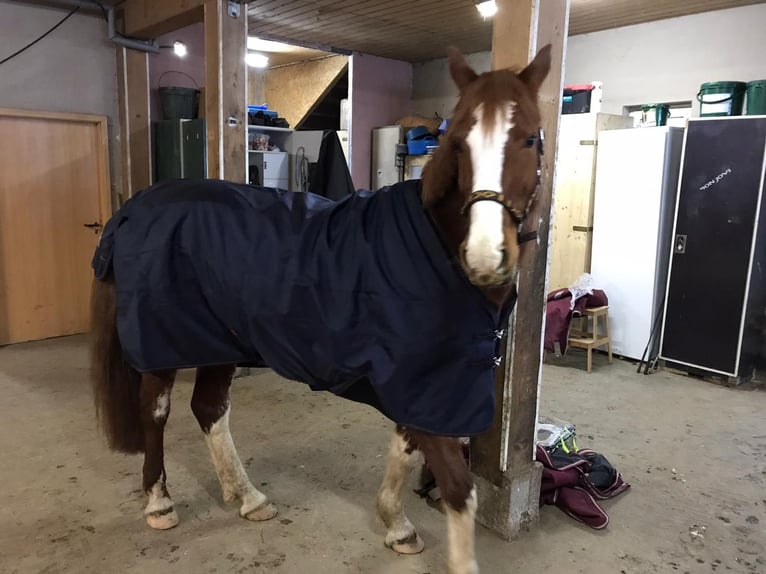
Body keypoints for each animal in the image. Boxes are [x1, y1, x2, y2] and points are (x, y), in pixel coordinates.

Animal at [88, 44, 552, 574]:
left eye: (530, 138)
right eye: (456, 142)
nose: (485, 256)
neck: (432, 247)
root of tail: (134, 208)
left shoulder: (421, 387)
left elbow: (406, 447)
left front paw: (396, 525)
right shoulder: (423, 384)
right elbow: (458, 487)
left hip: (220, 344)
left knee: (209, 410)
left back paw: (248, 497)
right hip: (166, 348)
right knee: (157, 413)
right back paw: (160, 503)